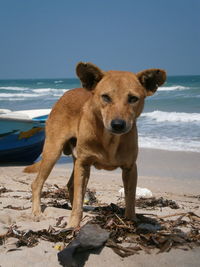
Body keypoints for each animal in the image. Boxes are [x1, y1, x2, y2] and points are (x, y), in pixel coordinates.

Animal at [25, 62, 166, 228]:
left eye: (133, 98)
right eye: (105, 97)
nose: (118, 125)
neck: (110, 139)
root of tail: (66, 94)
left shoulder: (130, 168)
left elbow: (130, 199)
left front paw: (131, 221)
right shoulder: (84, 164)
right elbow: (79, 199)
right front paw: (73, 225)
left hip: (75, 160)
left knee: (70, 186)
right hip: (53, 152)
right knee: (37, 184)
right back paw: (36, 212)